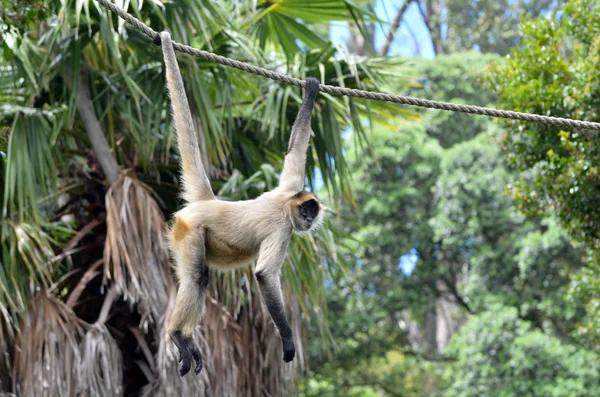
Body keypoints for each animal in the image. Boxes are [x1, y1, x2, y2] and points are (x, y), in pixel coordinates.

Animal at [156, 31, 324, 374]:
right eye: (304, 211)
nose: (308, 220)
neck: (286, 205)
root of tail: (208, 201)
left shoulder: (290, 188)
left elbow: (295, 151)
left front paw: (310, 90)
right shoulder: (283, 226)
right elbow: (264, 276)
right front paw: (287, 342)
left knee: (201, 278)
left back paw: (187, 341)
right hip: (188, 230)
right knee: (195, 278)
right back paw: (178, 335)